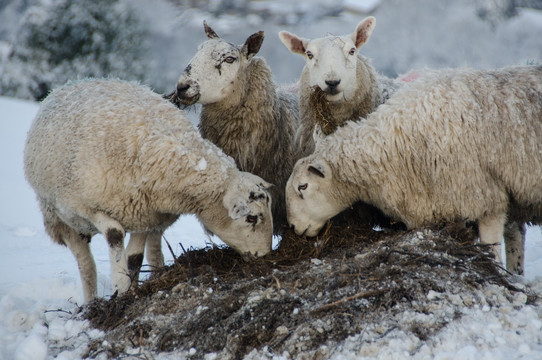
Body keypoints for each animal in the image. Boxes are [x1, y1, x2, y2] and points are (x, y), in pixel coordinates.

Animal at [23, 79, 274, 304]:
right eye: (252, 218)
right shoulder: (85, 207)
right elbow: (115, 235)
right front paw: (119, 287)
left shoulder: (145, 213)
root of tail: (68, 85)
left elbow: (135, 258)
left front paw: (130, 289)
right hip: (58, 216)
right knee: (85, 263)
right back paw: (89, 303)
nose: (265, 255)